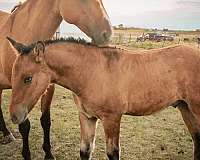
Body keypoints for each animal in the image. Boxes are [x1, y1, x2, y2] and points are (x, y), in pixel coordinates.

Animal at [0, 0, 111, 159]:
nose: (108, 33)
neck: (26, 29)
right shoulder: (19, 92)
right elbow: (24, 126)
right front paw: (26, 154)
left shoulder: (47, 87)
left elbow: (46, 121)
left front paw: (48, 153)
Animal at [7, 37, 200, 159]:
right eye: (12, 75)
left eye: (28, 78)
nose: (15, 116)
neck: (92, 72)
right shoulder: (87, 117)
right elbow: (85, 151)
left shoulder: (111, 118)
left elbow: (113, 154)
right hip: (185, 108)